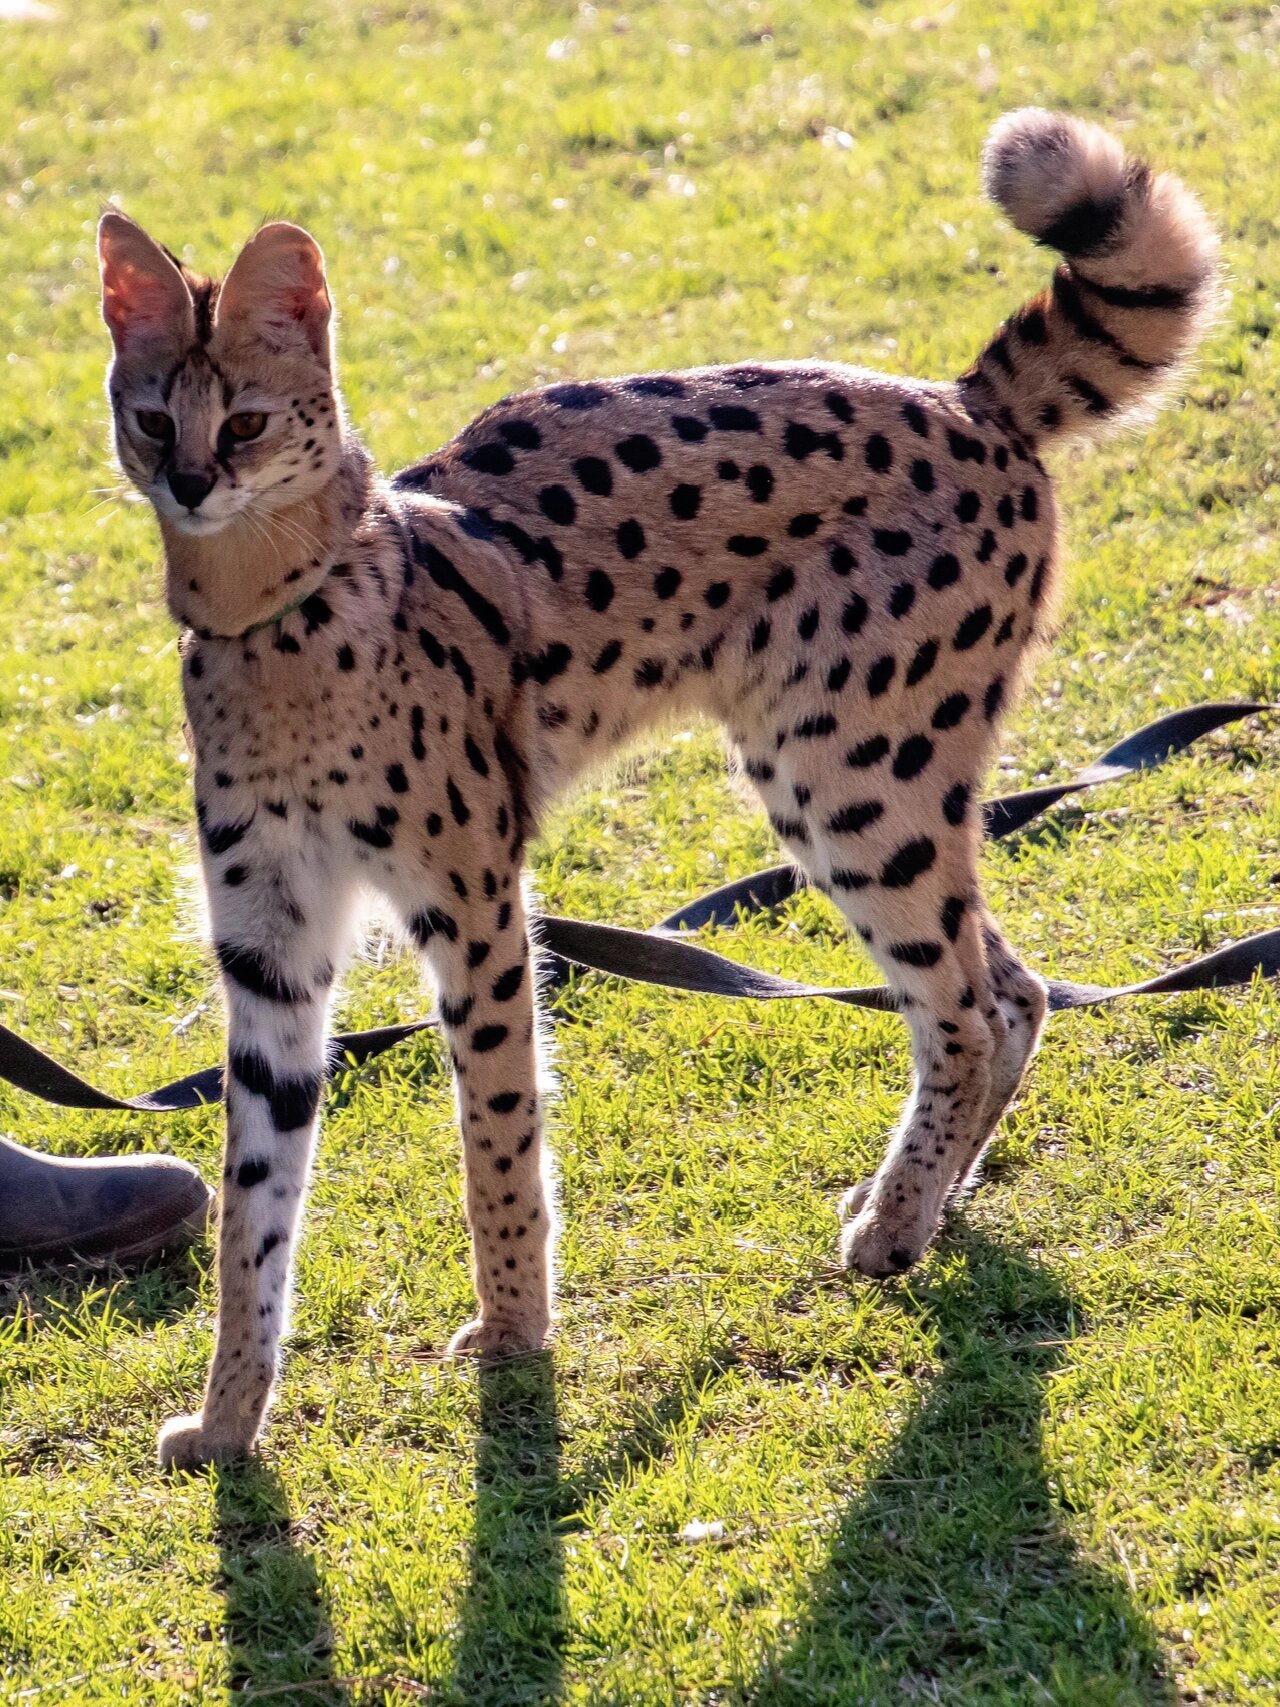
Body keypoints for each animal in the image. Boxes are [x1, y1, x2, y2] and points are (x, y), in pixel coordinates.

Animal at [95, 110, 1215, 1468]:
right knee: (1015, 988)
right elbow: (251, 1216)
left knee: (964, 1008)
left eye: (248, 423)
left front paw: (513, 1333)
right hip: (869, 783)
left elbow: (497, 1136)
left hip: (848, 779)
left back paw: (892, 1232)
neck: (269, 612)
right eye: (154, 420)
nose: (193, 483)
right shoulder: (269, 951)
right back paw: (921, 1203)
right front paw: (227, 1424)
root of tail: (960, 401)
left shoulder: (474, 908)